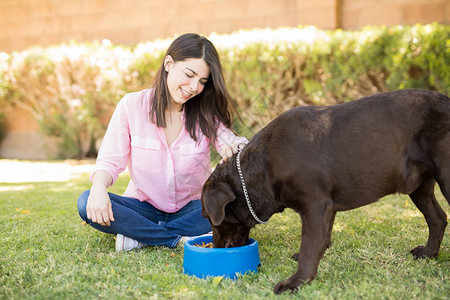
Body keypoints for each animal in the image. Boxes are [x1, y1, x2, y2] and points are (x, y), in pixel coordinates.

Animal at [202, 88, 448, 292]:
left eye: (208, 217)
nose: (215, 246)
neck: (264, 166)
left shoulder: (315, 205)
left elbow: (309, 247)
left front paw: (296, 282)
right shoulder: (326, 207)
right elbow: (323, 238)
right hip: (418, 186)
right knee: (438, 218)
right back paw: (429, 254)